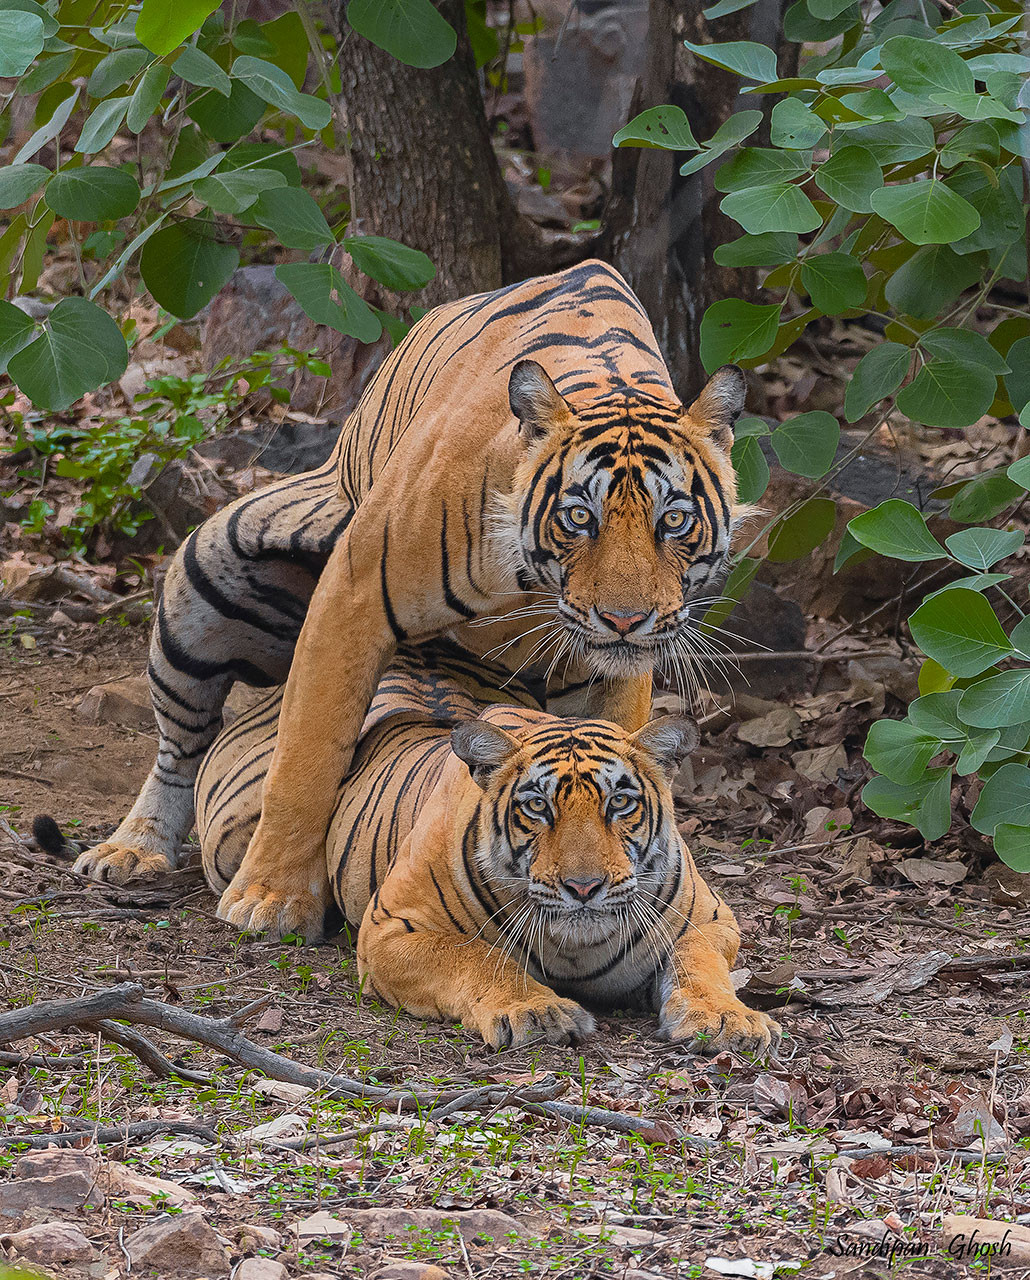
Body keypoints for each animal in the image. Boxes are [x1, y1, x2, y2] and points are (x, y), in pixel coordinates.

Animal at [73, 260, 747, 942]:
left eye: (674, 520)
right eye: (579, 516)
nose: (624, 620)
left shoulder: (621, 666)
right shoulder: (354, 593)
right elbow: (306, 759)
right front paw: (270, 898)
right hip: (203, 581)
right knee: (179, 747)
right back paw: (131, 850)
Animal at [196, 640, 778, 1052]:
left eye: (620, 803)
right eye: (537, 806)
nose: (584, 887)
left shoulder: (710, 919)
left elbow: (700, 963)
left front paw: (730, 1019)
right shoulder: (392, 928)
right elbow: (478, 956)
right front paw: (538, 1013)